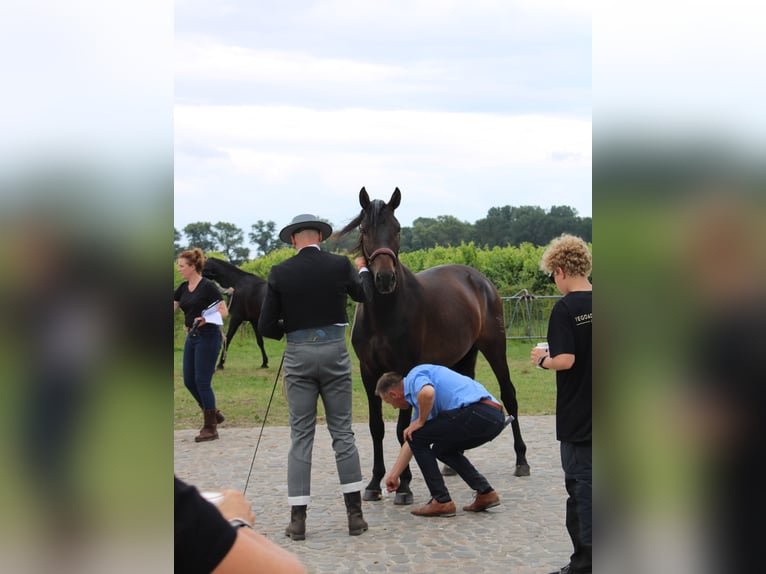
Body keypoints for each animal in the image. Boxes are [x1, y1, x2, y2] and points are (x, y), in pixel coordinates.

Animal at [340, 188, 532, 504]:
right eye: (364, 230)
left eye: (397, 229)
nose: (384, 279)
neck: (384, 312)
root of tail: (479, 279)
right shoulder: (368, 373)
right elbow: (376, 428)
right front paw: (373, 483)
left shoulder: (405, 368)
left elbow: (402, 428)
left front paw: (404, 486)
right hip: (462, 356)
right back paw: (453, 461)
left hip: (494, 347)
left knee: (509, 395)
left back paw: (522, 461)